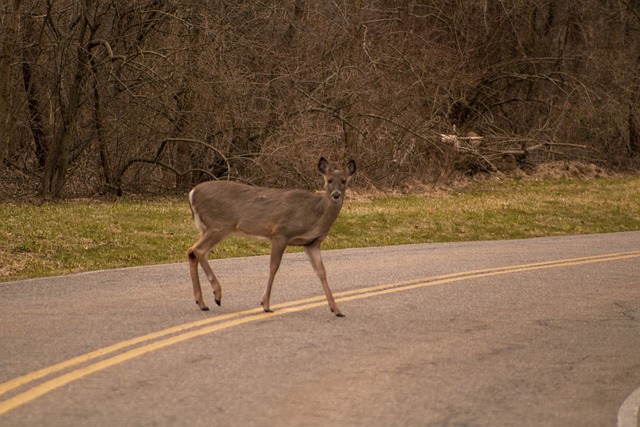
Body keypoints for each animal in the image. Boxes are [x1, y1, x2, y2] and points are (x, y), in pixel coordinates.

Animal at [186, 157, 356, 318]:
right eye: (329, 180)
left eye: (344, 180)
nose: (336, 195)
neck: (314, 213)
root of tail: (192, 193)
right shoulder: (280, 232)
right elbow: (274, 266)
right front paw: (265, 304)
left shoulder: (312, 243)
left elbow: (321, 272)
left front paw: (336, 309)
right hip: (218, 225)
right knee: (198, 250)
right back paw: (217, 294)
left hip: (208, 228)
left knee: (191, 251)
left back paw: (201, 302)